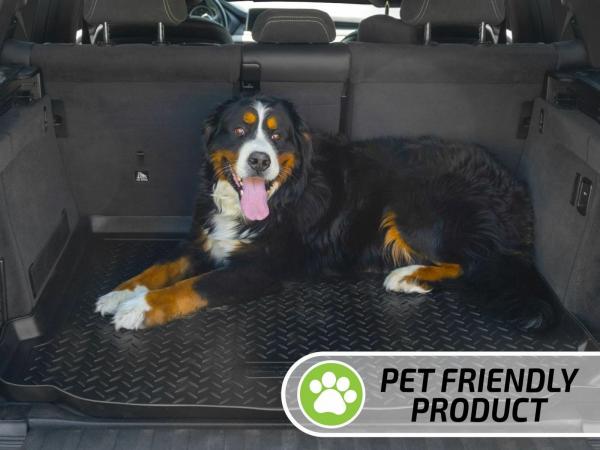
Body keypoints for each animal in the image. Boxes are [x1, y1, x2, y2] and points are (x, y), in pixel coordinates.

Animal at [96, 96, 557, 332]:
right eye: (240, 130)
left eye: (278, 136)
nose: (260, 160)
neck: (279, 198)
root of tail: (515, 189)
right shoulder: (203, 240)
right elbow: (159, 268)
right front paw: (121, 292)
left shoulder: (260, 269)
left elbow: (192, 287)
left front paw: (139, 308)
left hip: (415, 207)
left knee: (472, 263)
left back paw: (408, 276)